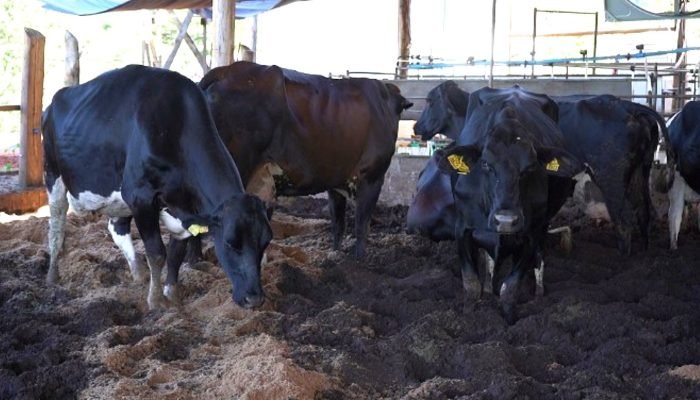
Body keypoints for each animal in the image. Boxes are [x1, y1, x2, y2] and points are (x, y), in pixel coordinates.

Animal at [42, 65, 273, 310]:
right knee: (56, 228)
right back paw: (53, 275)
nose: (254, 298)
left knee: (117, 227)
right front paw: (155, 300)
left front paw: (172, 293)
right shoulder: (140, 197)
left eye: (266, 242)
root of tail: (55, 101)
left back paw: (138, 272)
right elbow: (157, 252)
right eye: (230, 243)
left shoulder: (179, 209)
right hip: (53, 175)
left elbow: (175, 253)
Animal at [197, 61, 413, 258]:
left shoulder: (336, 182)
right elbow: (362, 225)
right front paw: (359, 260)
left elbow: (338, 223)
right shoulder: (373, 176)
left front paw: (336, 254)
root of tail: (226, 70)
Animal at [436, 86, 582, 323]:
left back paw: (538, 293)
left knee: (538, 258)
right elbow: (471, 284)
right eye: (486, 164)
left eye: (530, 167)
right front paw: (469, 316)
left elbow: (510, 288)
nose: (506, 220)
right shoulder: (463, 229)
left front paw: (508, 319)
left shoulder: (530, 235)